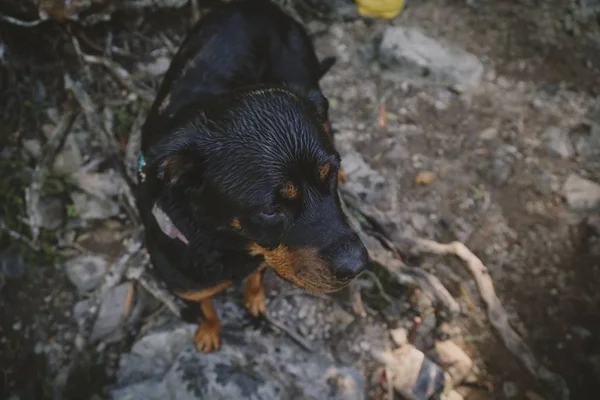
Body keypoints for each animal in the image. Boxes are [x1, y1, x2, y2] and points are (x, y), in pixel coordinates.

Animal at [138, 0, 368, 352]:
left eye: (329, 175)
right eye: (270, 210)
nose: (358, 265)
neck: (225, 241)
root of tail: (258, 5)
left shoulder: (264, 255)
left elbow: (257, 276)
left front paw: (255, 299)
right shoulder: (186, 284)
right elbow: (205, 307)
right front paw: (209, 331)